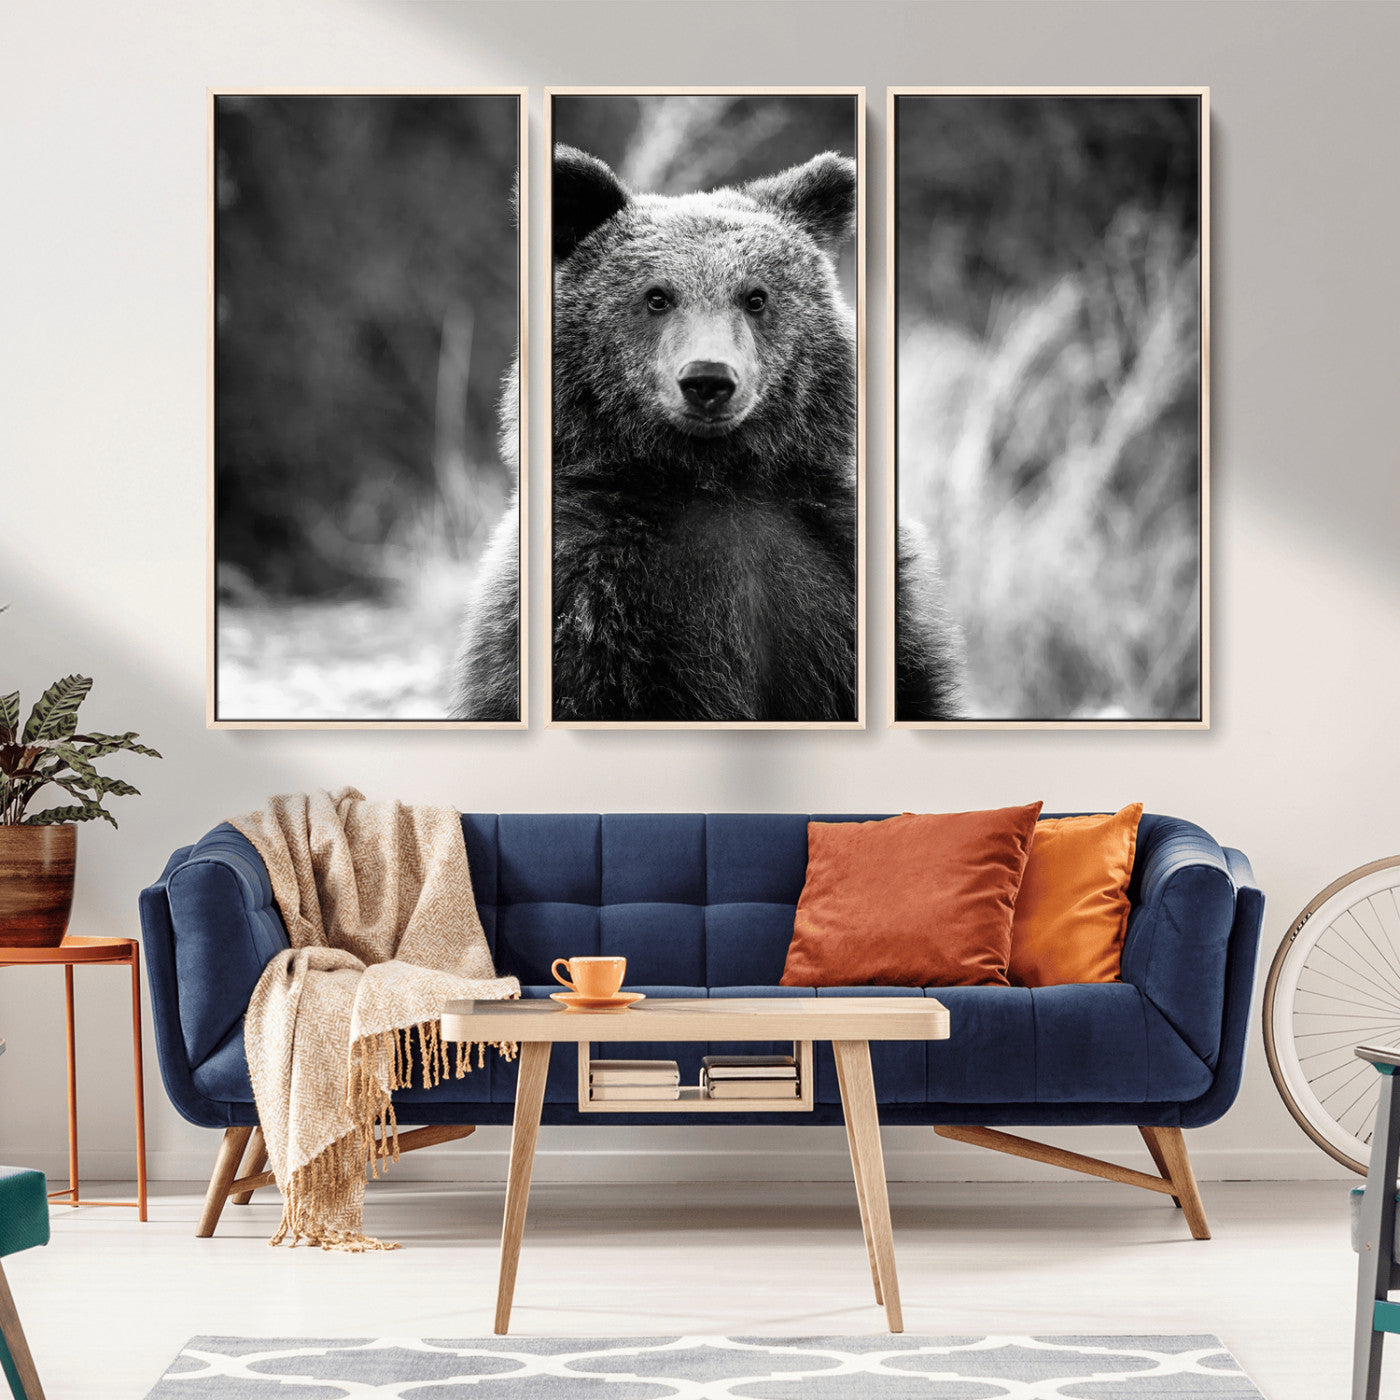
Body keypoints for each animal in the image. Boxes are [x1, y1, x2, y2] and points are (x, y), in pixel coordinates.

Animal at [452, 143, 963, 722]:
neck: (714, 479)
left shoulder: (836, 570)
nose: (708, 379)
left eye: (756, 297)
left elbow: (914, 686)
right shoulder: (592, 594)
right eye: (657, 296)